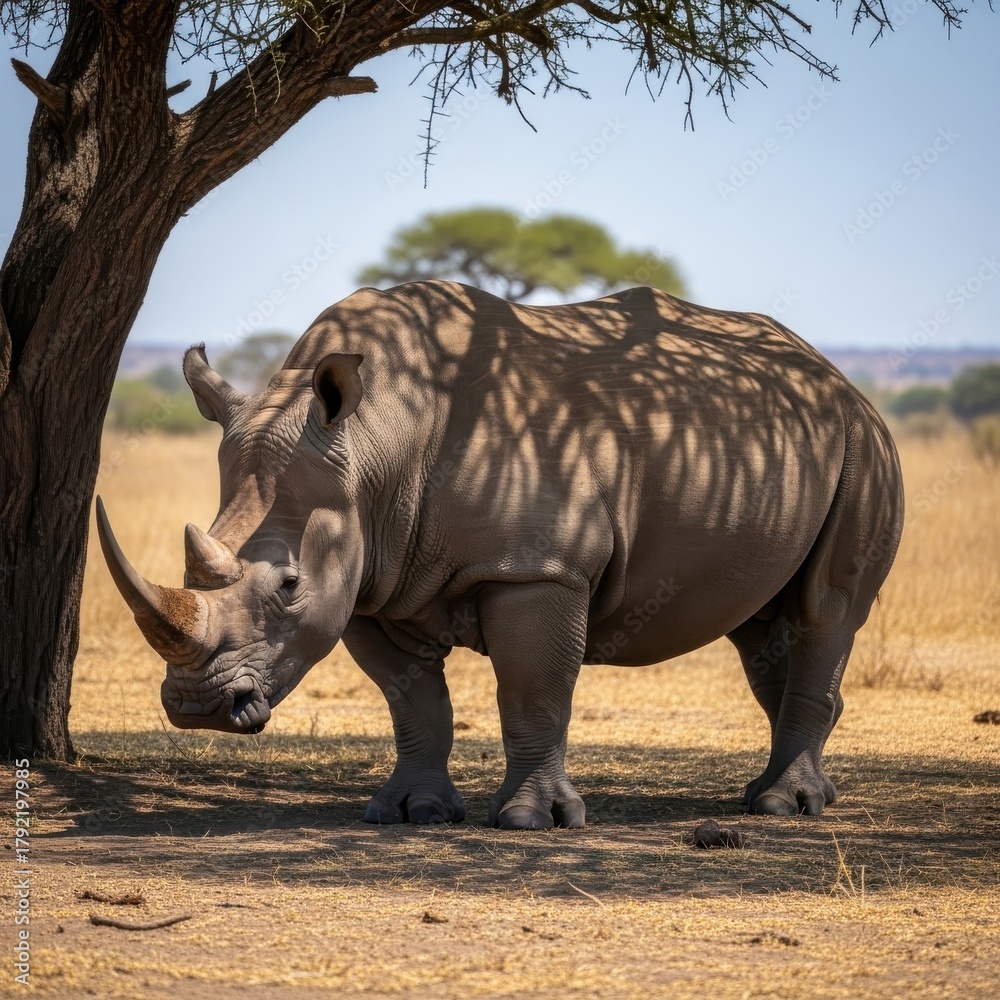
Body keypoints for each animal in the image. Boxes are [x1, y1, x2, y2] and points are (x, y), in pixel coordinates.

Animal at [98, 281, 904, 828]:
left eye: (289, 585)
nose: (197, 707)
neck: (374, 442)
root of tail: (839, 378)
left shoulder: (537, 569)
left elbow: (532, 688)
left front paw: (530, 822)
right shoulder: (369, 578)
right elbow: (413, 700)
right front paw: (409, 812)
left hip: (864, 445)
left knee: (825, 611)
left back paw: (782, 807)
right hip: (790, 446)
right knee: (763, 629)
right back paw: (798, 795)